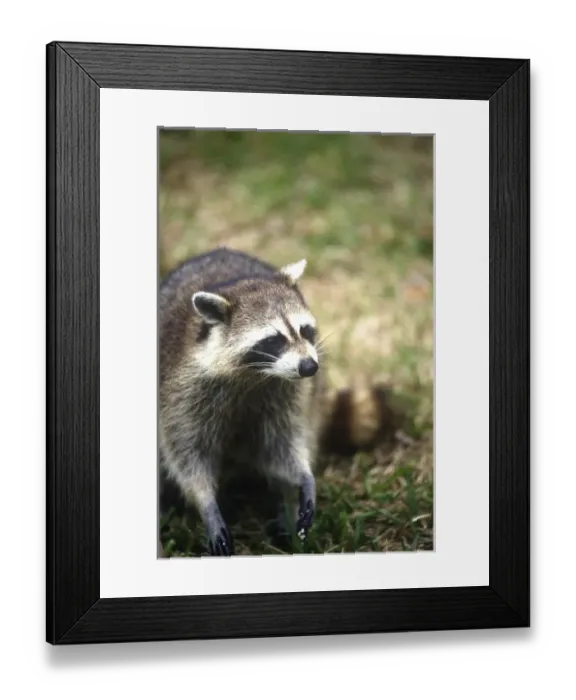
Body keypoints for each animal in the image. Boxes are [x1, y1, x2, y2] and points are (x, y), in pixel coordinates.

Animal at [158, 247, 394, 556]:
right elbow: (188, 453)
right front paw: (206, 503)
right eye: (273, 340)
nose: (309, 367)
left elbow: (283, 444)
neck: (256, 375)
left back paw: (286, 505)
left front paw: (302, 477)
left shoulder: (286, 395)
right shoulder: (181, 393)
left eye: (304, 330)